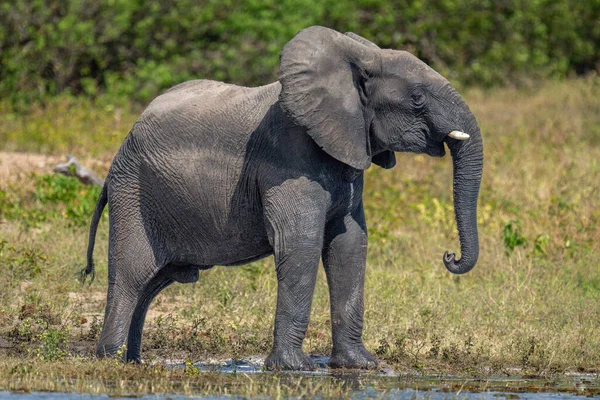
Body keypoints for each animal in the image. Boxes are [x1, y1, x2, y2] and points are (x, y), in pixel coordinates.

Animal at [85, 25, 482, 370]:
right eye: (417, 99)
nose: (449, 256)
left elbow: (350, 245)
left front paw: (360, 366)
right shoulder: (288, 161)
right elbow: (301, 244)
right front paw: (294, 369)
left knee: (151, 285)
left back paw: (133, 362)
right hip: (132, 191)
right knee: (130, 277)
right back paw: (110, 360)